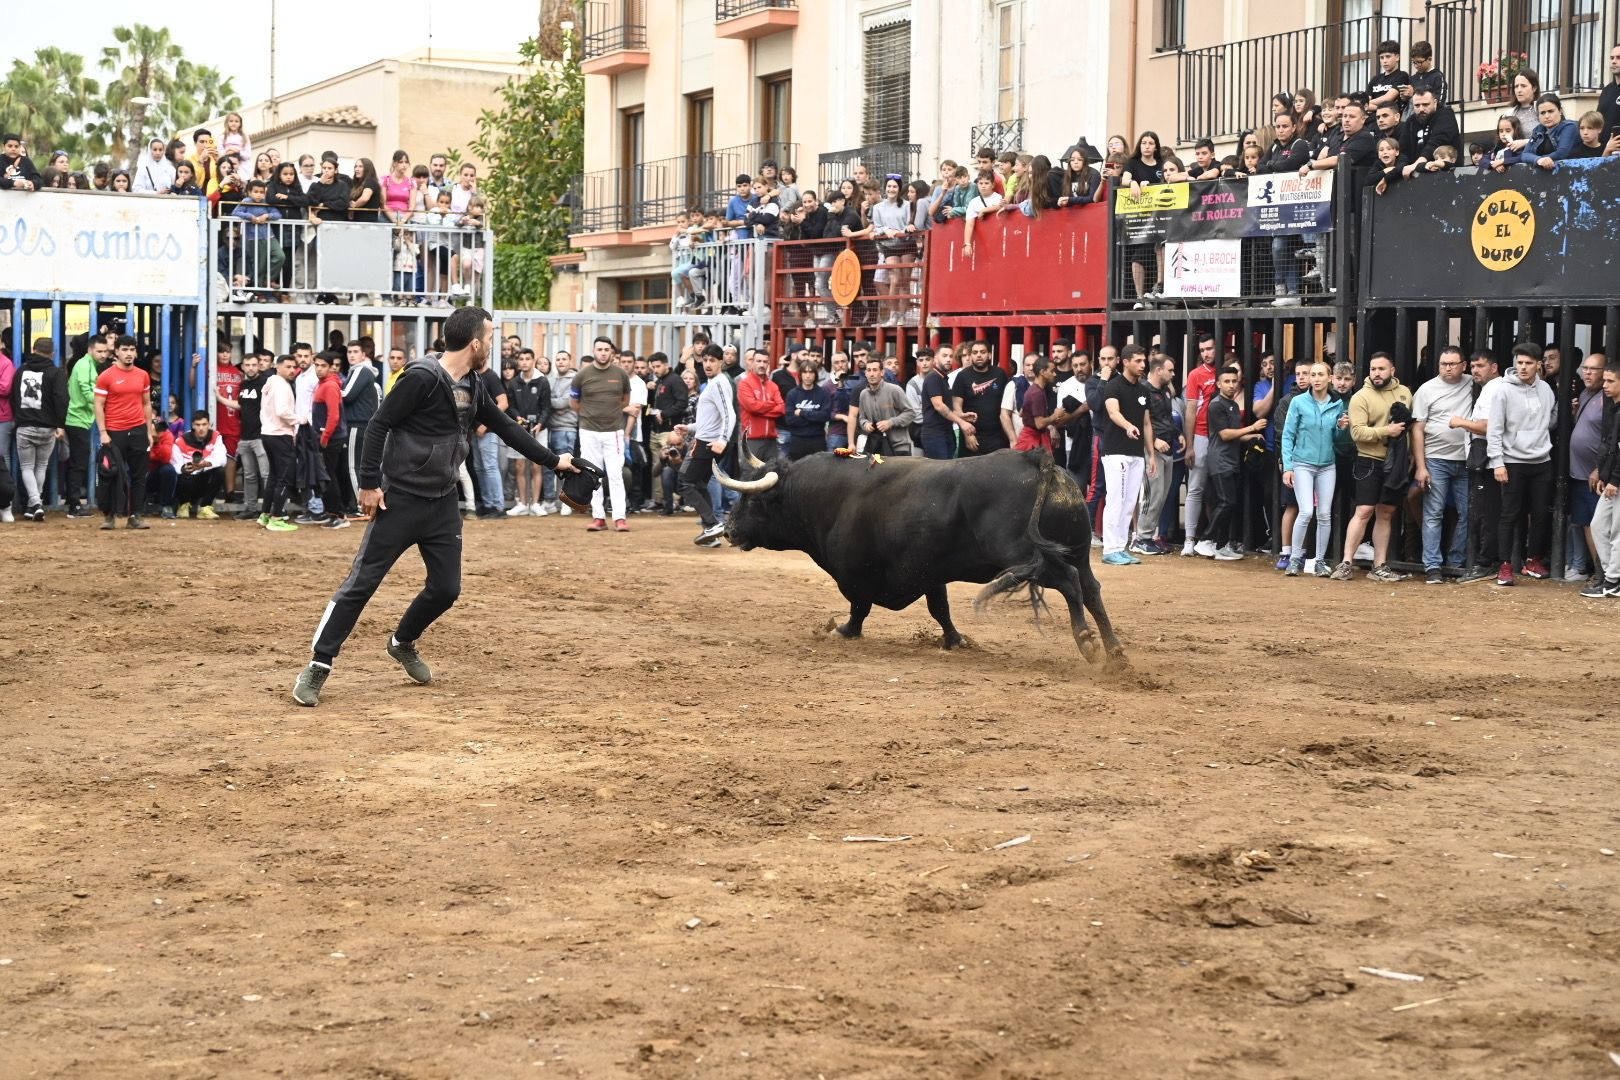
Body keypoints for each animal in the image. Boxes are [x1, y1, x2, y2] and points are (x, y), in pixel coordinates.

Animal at [722, 446, 1127, 667]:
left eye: (752, 500)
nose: (728, 529)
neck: (830, 496)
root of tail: (1035, 459)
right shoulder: (930, 573)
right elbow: (940, 609)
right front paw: (955, 640)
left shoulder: (858, 575)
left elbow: (858, 608)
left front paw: (843, 632)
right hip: (1077, 551)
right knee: (1091, 589)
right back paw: (1116, 654)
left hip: (1026, 557)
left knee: (1070, 583)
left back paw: (1088, 643)